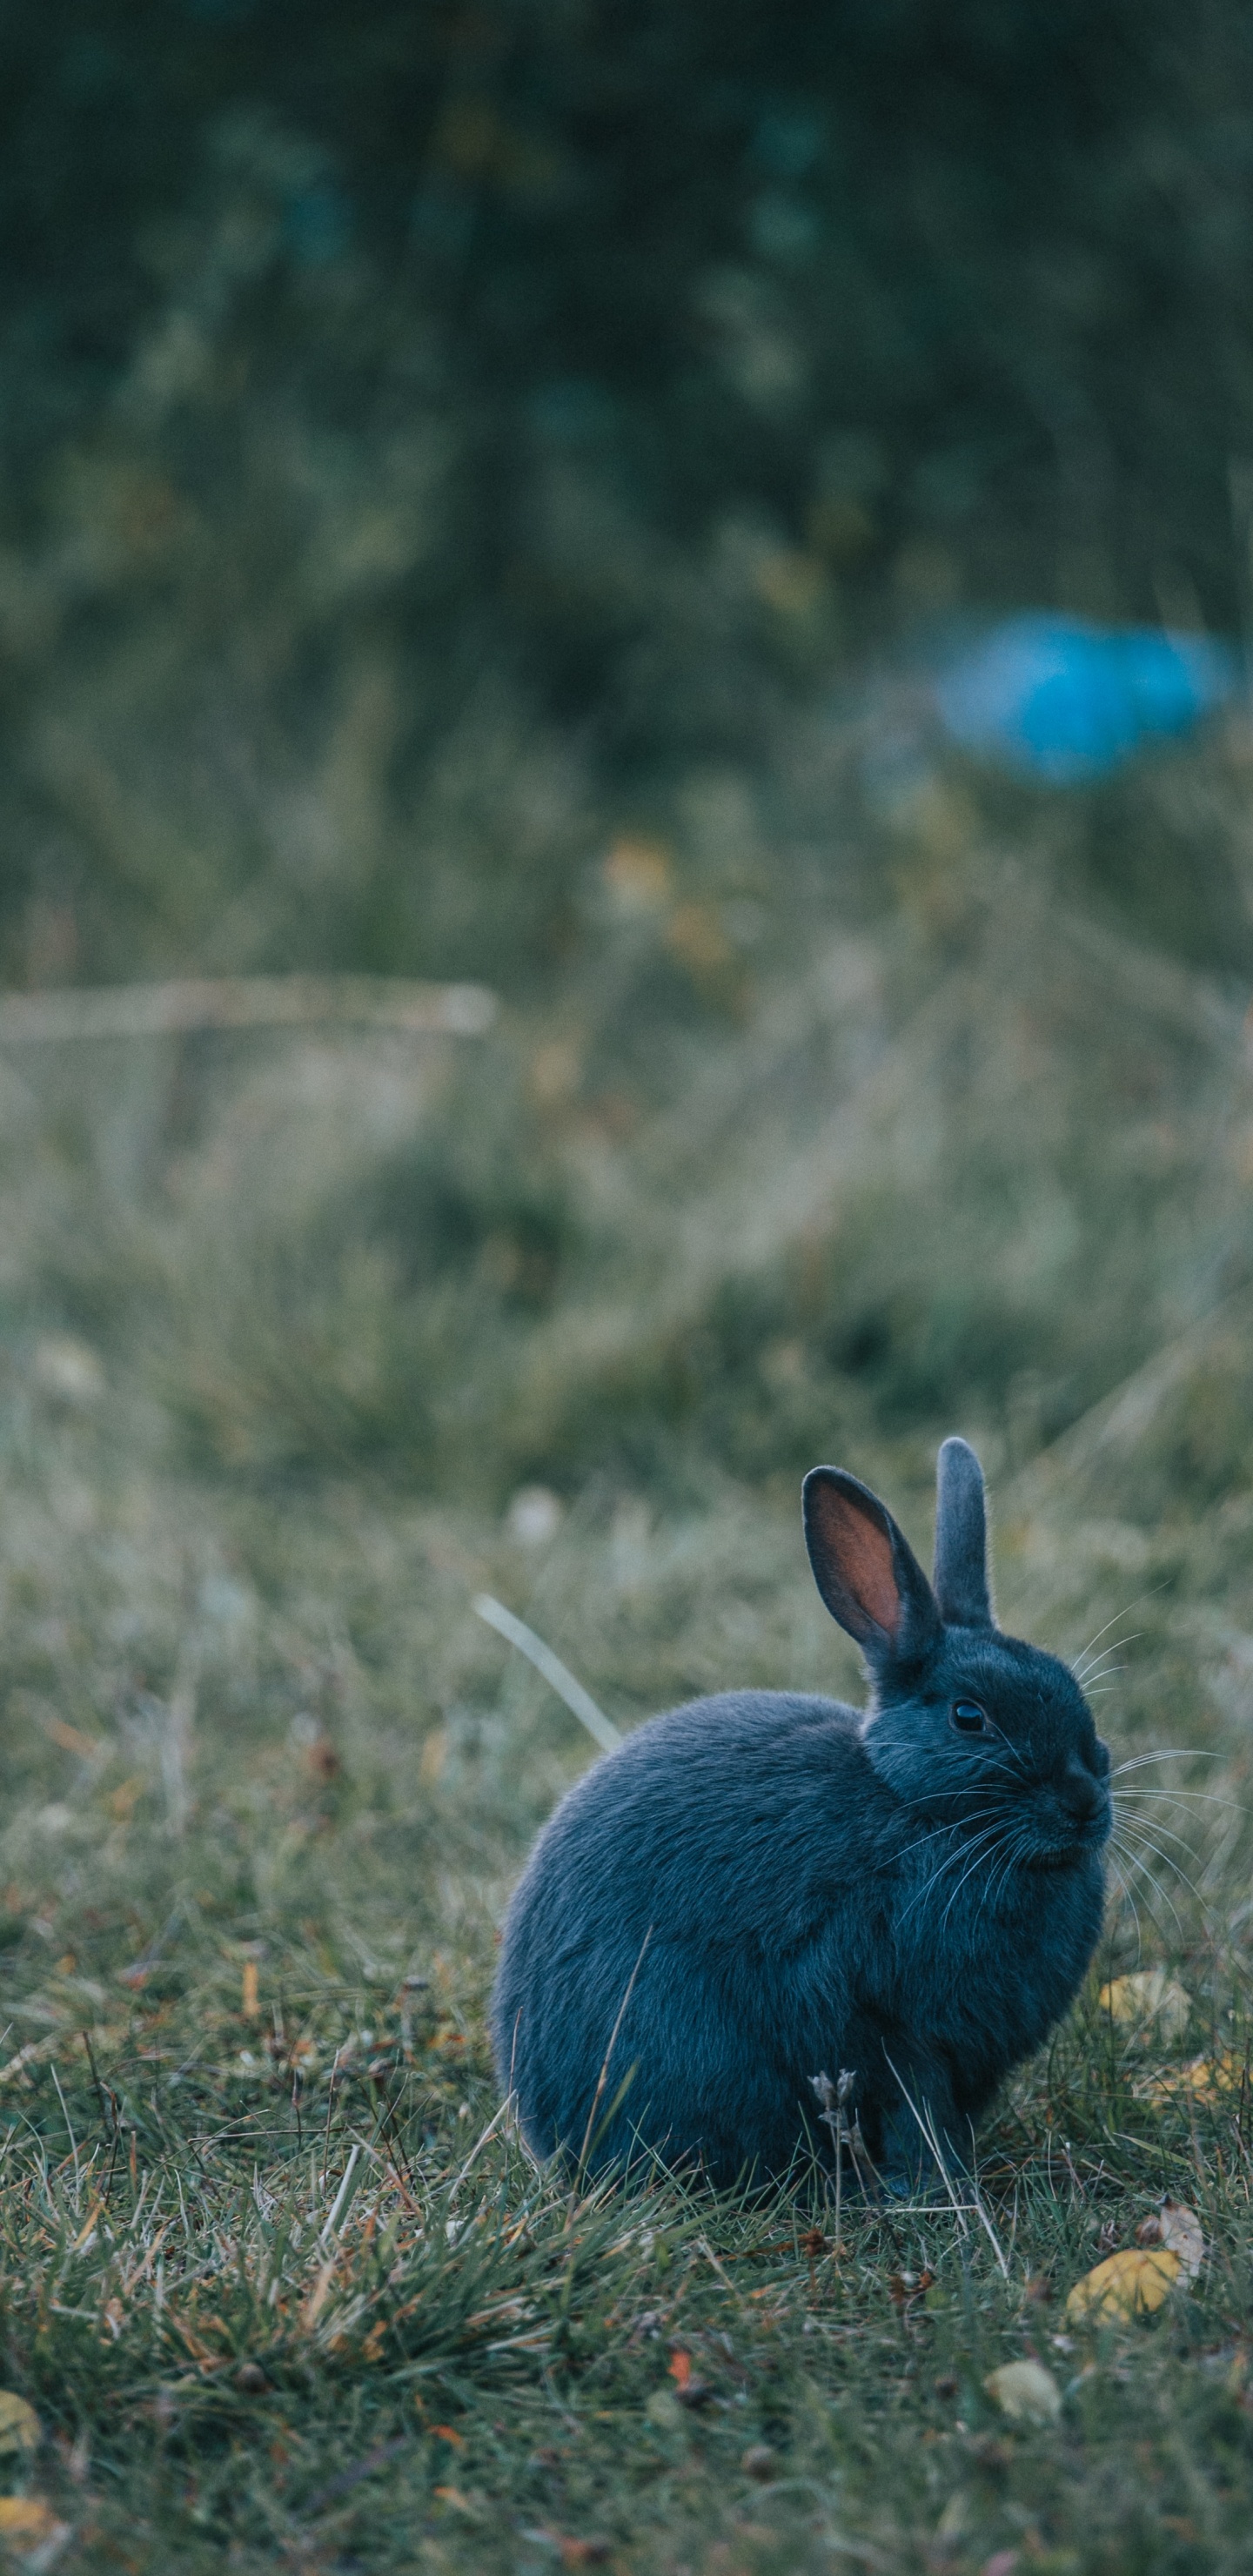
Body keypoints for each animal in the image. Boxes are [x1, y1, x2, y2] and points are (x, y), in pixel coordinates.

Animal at [491, 1438, 1111, 2193]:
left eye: (1071, 1689)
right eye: (970, 1717)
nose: (1085, 1802)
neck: (918, 1813)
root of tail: (546, 2129)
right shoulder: (886, 2022)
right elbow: (915, 2111)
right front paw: (935, 2190)